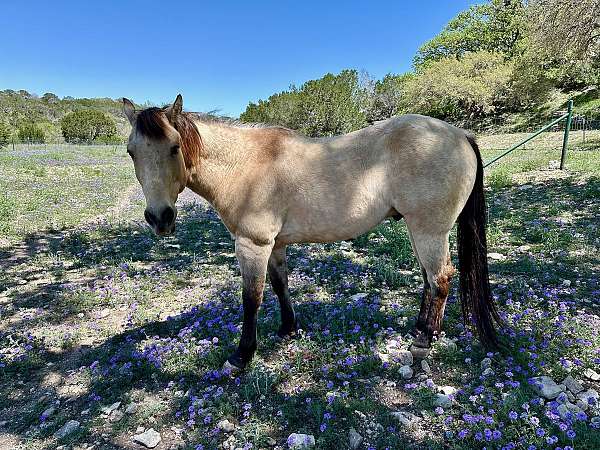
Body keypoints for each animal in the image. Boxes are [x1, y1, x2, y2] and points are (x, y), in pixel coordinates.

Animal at [119, 94, 500, 370]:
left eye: (174, 147)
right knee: (428, 279)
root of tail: (459, 135)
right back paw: (420, 328)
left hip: (428, 230)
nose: (160, 218)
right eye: (131, 152)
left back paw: (424, 340)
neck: (246, 165)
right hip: (418, 229)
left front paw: (243, 355)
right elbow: (279, 286)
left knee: (441, 278)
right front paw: (288, 329)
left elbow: (251, 298)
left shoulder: (252, 246)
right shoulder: (274, 245)